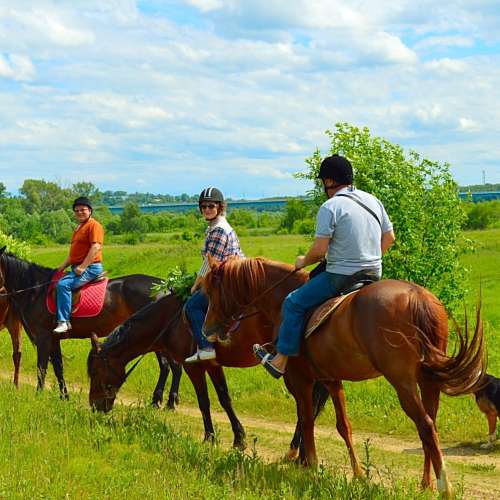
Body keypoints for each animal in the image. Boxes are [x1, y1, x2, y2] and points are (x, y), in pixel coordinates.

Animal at [0, 248, 183, 408]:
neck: (37, 291)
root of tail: (165, 288)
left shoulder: (44, 338)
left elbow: (41, 368)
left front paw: (38, 396)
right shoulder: (54, 339)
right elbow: (59, 369)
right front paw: (65, 398)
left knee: (170, 366)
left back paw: (167, 402)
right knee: (169, 366)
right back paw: (159, 401)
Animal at [201, 256, 486, 498]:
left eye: (211, 292)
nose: (206, 330)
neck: (281, 299)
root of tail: (417, 296)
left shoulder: (300, 381)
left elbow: (306, 421)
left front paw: (311, 468)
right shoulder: (330, 380)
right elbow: (343, 425)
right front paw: (358, 474)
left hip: (402, 381)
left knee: (425, 424)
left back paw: (444, 487)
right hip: (427, 379)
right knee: (431, 424)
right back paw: (426, 483)